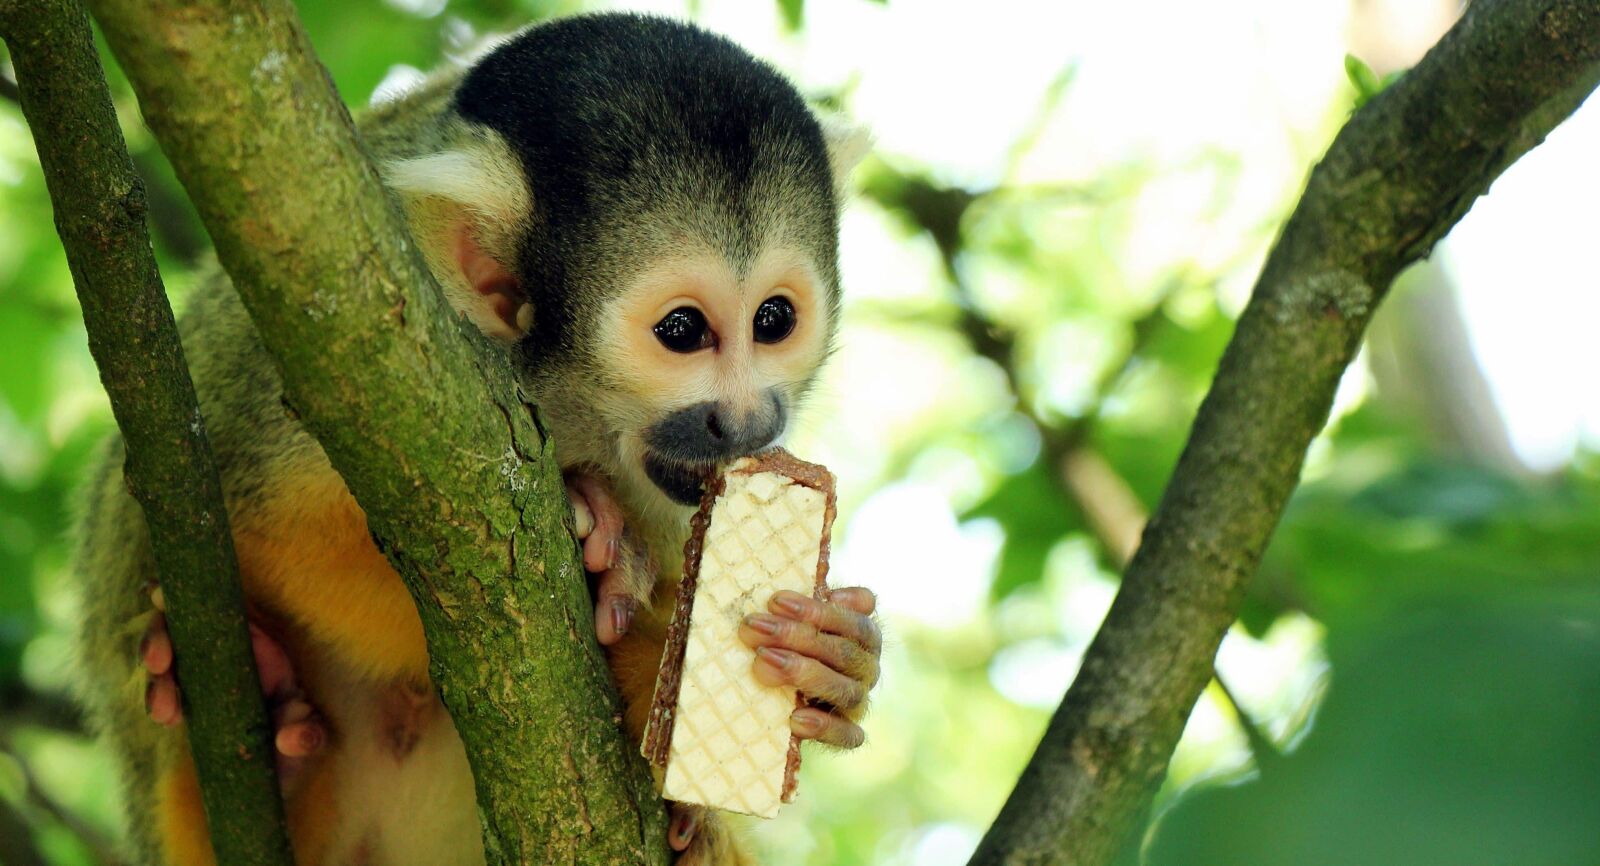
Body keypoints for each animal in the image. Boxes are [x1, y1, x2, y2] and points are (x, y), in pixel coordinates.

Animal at [70, 13, 880, 866]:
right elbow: (276, 530)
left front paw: (832, 660)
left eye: (773, 320)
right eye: (683, 331)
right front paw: (604, 553)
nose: (749, 422)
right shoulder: (336, 349)